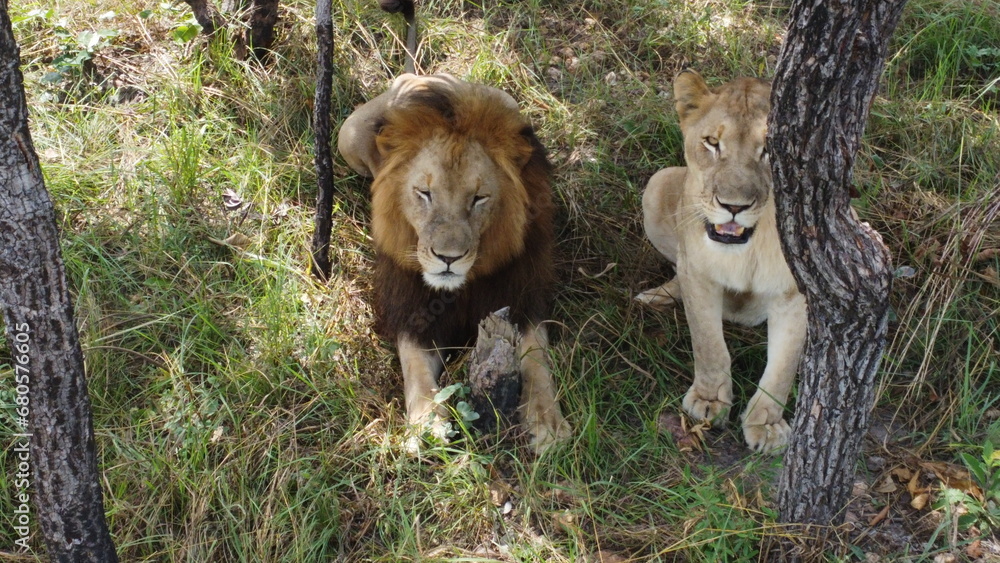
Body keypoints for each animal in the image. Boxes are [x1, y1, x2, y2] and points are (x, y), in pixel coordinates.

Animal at [337, 73, 571, 453]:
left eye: (479, 198)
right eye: (425, 194)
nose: (448, 258)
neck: (460, 287)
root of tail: (419, 75)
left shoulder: (522, 296)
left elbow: (538, 360)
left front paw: (547, 421)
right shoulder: (412, 311)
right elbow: (415, 370)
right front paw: (427, 423)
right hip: (348, 134)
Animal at [635, 70, 807, 453]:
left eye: (769, 149)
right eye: (712, 142)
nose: (733, 206)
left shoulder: (797, 292)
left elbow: (783, 366)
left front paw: (766, 425)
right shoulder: (700, 276)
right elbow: (709, 344)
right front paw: (709, 401)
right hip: (657, 183)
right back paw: (655, 297)